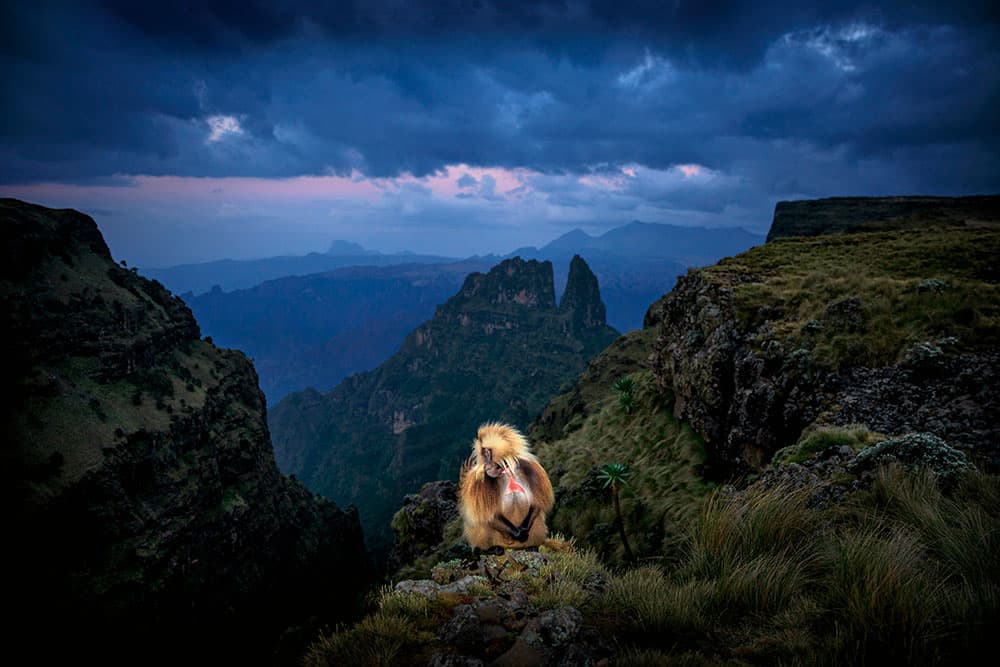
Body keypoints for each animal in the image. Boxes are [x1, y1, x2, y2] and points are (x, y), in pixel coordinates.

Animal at [456, 422, 552, 552]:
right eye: (483, 454)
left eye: (487, 452)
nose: (486, 466)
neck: (505, 470)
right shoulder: (480, 483)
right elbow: (489, 517)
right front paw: (519, 534)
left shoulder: (531, 469)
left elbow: (537, 504)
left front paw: (523, 532)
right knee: (481, 520)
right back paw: (491, 549)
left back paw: (531, 546)